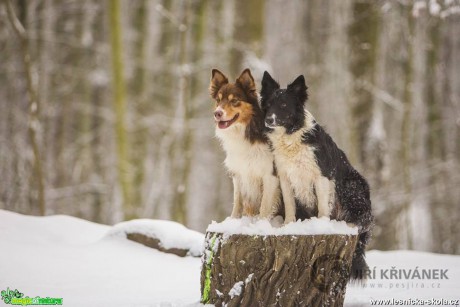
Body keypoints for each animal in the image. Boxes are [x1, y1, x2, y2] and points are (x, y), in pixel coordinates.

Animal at [210, 68, 282, 220]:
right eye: (218, 100)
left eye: (234, 101)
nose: (217, 113)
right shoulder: (239, 172)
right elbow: (238, 202)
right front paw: (233, 221)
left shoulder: (270, 175)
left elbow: (264, 207)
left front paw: (261, 223)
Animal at [258, 71, 374, 280]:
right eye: (268, 104)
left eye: (284, 105)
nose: (269, 120)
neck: (291, 137)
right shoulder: (285, 177)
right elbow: (289, 204)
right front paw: (288, 225)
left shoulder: (322, 176)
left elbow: (322, 206)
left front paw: (321, 226)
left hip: (352, 185)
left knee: (361, 221)